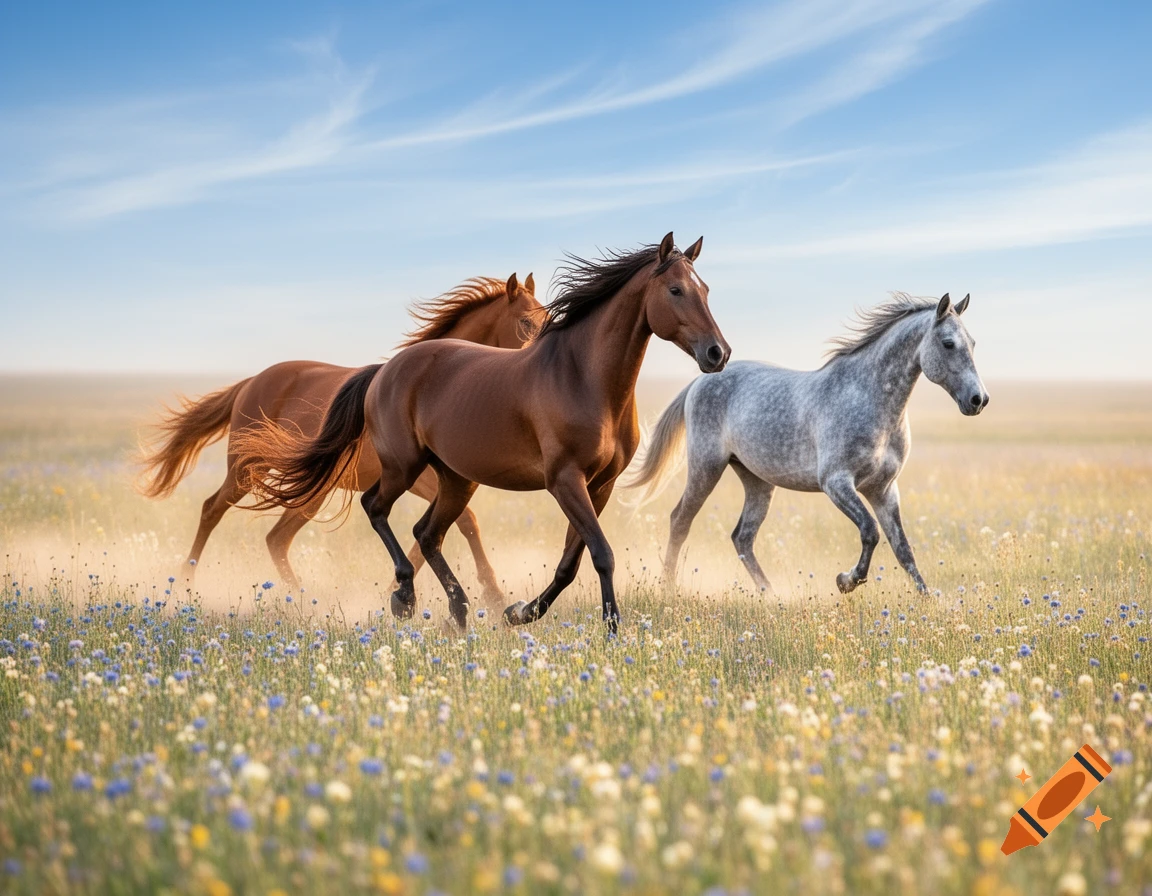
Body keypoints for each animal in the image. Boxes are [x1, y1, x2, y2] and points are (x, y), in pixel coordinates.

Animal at [137, 273, 542, 599]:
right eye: (525, 321)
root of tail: (251, 382)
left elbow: (440, 529)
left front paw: (398, 592)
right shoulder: (419, 479)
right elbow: (465, 522)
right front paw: (492, 596)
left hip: (312, 489)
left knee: (276, 538)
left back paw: (301, 599)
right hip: (248, 470)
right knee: (213, 510)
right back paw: (186, 583)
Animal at [239, 233, 730, 631]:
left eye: (705, 289)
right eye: (675, 290)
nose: (718, 353)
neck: (582, 376)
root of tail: (385, 370)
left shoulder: (600, 486)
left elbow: (571, 561)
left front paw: (519, 613)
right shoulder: (564, 480)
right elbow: (601, 554)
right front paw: (611, 629)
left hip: (456, 479)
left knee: (427, 532)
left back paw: (457, 611)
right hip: (404, 467)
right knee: (376, 508)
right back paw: (405, 598)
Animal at [626, 292, 988, 596]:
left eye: (972, 343)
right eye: (948, 343)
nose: (979, 400)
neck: (869, 399)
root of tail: (700, 380)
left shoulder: (884, 490)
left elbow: (903, 549)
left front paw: (929, 601)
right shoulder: (836, 483)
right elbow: (870, 531)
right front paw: (846, 581)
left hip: (757, 482)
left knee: (742, 537)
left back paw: (771, 597)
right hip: (706, 467)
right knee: (680, 521)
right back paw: (669, 589)